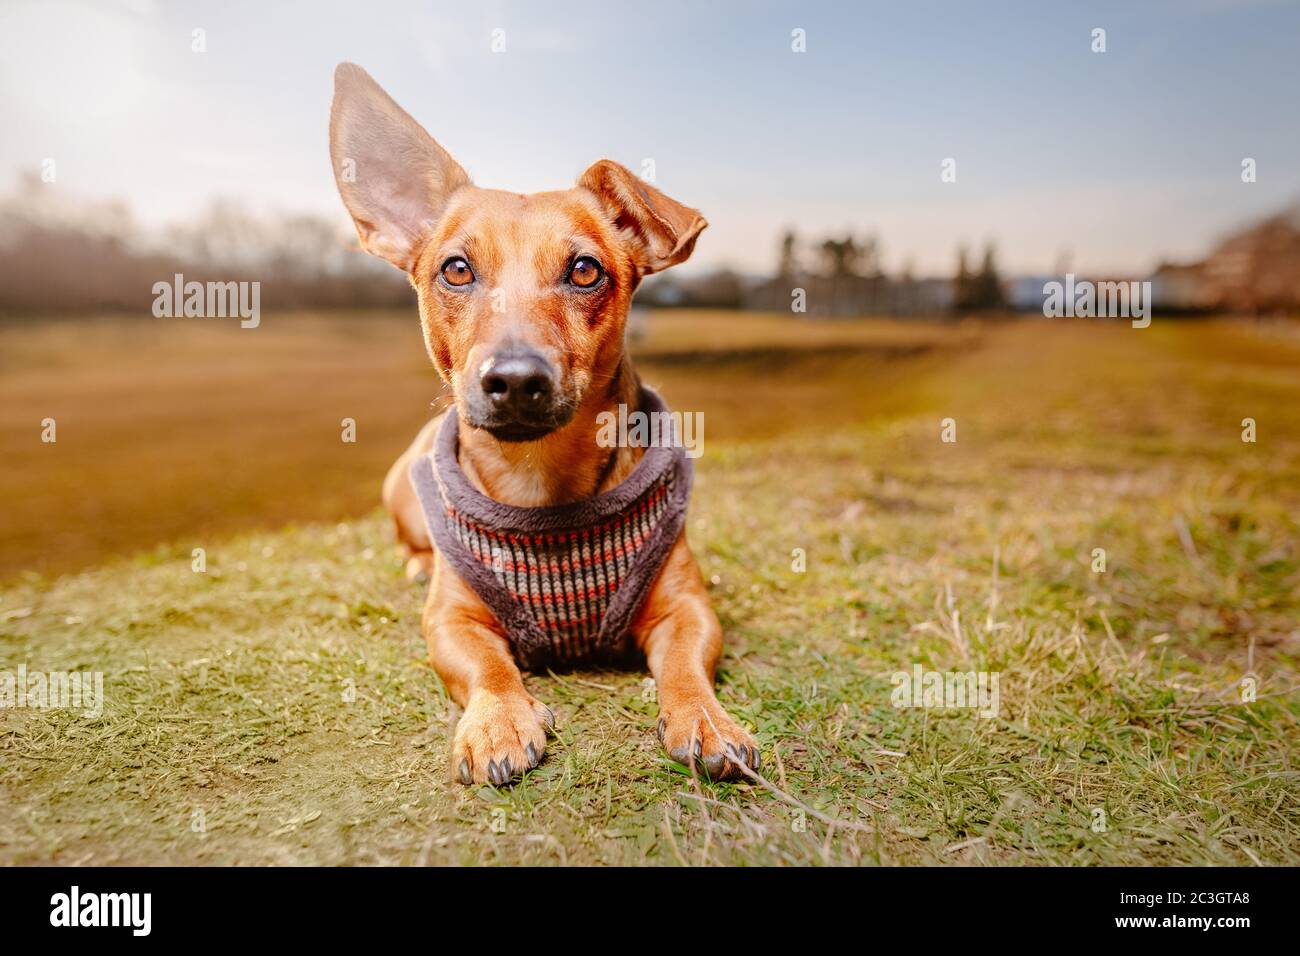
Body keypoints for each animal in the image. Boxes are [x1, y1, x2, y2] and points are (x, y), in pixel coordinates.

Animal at [327, 63, 759, 790]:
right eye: (456, 268)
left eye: (585, 270)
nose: (516, 377)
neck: (540, 482)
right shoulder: (451, 621)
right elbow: (484, 665)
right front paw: (500, 717)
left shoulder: (688, 607)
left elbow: (686, 662)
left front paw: (705, 717)